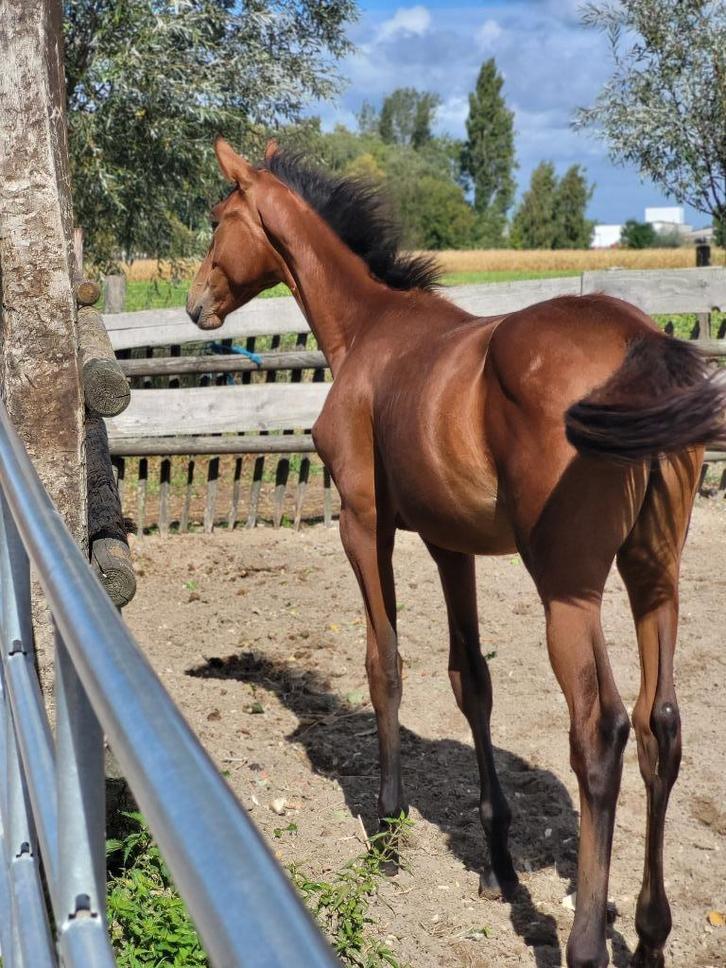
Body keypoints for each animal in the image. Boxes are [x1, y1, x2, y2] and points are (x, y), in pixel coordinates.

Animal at [187, 138, 725, 968]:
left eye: (218, 219)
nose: (196, 304)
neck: (367, 330)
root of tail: (642, 340)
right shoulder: (451, 545)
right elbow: (471, 681)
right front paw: (496, 865)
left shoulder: (363, 523)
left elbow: (386, 666)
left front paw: (386, 831)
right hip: (653, 575)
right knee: (659, 725)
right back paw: (651, 936)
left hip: (568, 588)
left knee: (600, 730)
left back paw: (585, 942)